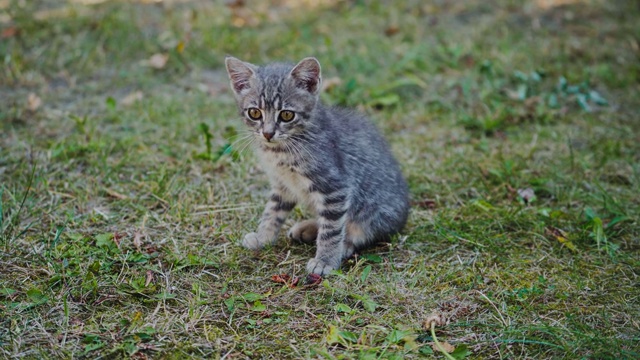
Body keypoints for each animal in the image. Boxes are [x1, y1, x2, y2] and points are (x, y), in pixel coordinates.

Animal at [225, 56, 410, 276]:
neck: (281, 150)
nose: (268, 133)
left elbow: (331, 229)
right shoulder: (283, 184)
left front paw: (325, 261)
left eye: (286, 115)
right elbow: (272, 211)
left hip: (375, 211)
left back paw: (344, 244)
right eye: (254, 113)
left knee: (359, 229)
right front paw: (263, 237)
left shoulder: (335, 187)